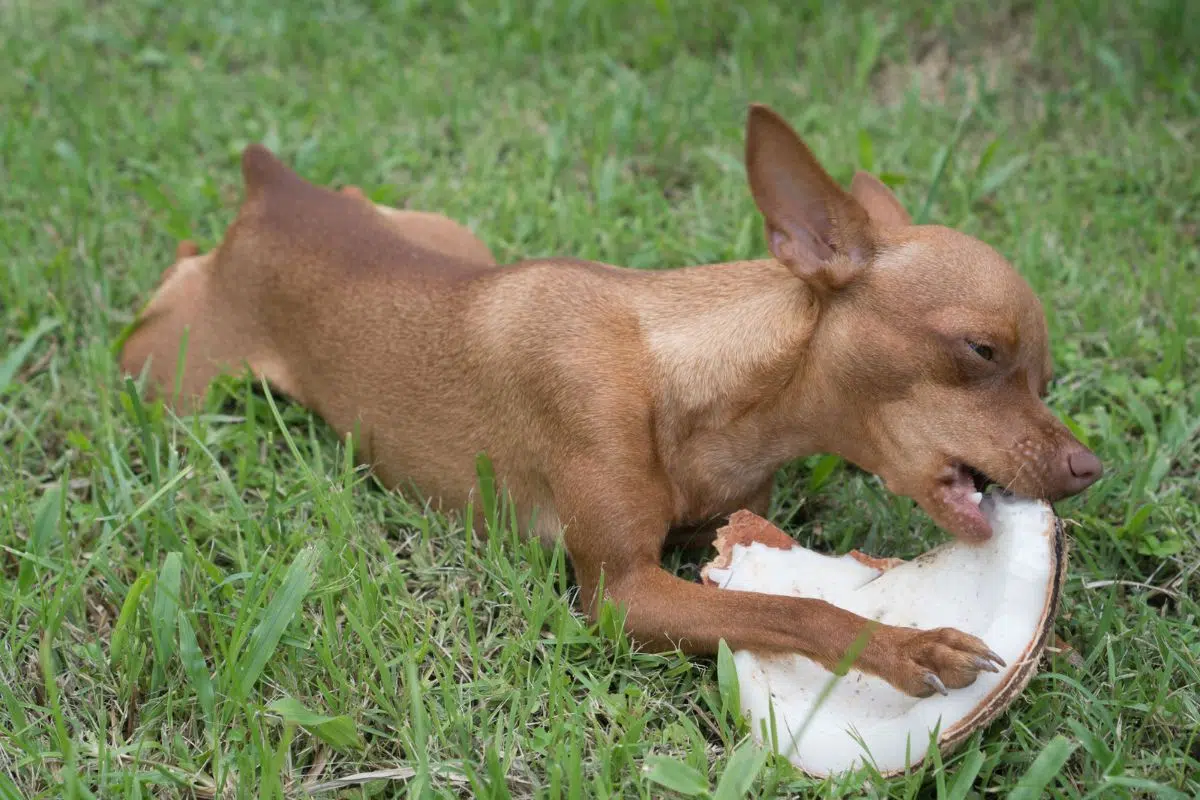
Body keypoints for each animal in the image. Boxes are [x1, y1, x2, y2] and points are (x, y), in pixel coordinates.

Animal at [119, 104, 1099, 695]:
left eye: (1046, 379)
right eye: (981, 350)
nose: (1089, 468)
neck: (689, 377)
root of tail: (273, 190)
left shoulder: (716, 536)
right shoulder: (623, 594)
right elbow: (797, 607)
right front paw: (905, 646)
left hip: (450, 235)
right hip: (168, 378)